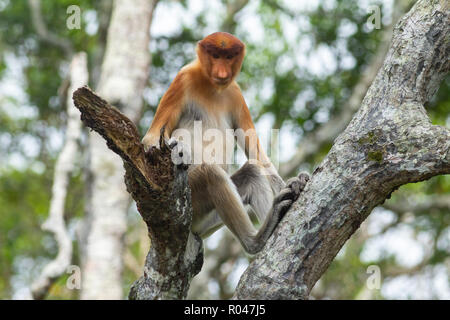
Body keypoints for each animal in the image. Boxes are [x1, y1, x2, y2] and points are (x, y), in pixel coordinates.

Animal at [142, 31, 308, 252]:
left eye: (228, 57)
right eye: (215, 55)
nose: (222, 73)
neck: (212, 87)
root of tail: (194, 229)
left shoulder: (236, 94)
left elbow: (256, 152)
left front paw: (295, 183)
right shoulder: (182, 79)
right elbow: (151, 137)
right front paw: (177, 147)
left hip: (209, 218)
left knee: (252, 171)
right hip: (192, 198)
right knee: (210, 173)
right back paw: (255, 240)